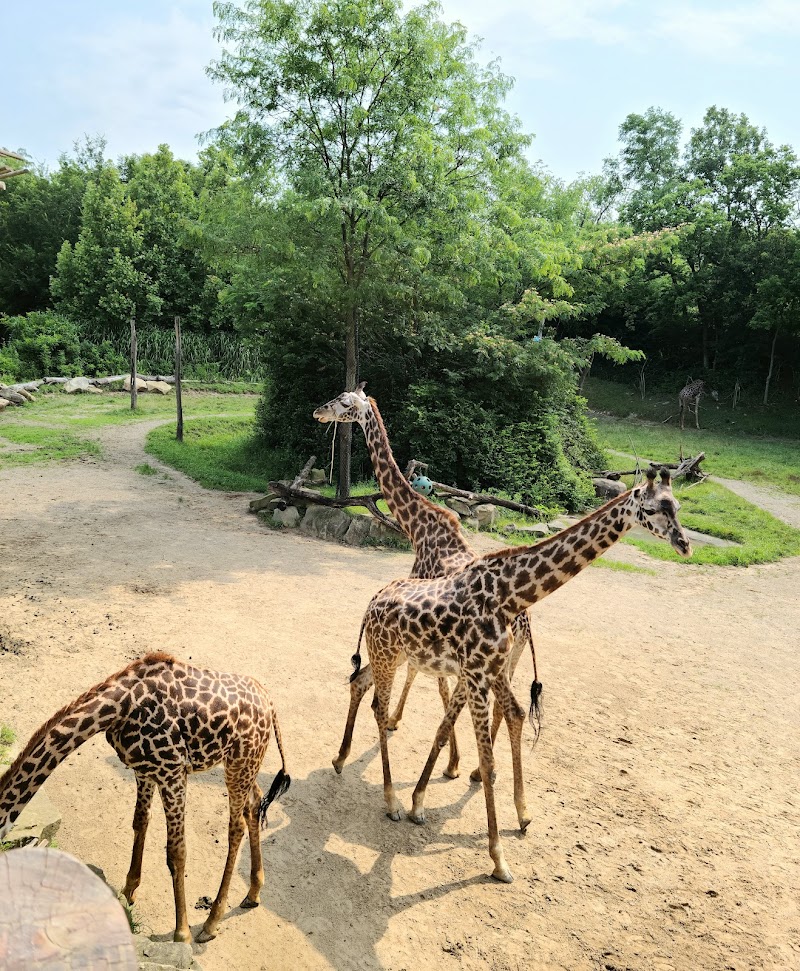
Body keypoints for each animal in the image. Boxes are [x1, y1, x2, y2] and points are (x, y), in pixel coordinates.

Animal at [0, 652, 290, 944]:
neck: (120, 708)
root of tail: (270, 705)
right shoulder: (144, 770)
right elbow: (140, 821)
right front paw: (128, 892)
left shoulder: (173, 772)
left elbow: (176, 852)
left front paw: (182, 933)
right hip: (245, 764)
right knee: (255, 803)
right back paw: (253, 892)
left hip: (239, 763)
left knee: (236, 827)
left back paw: (211, 923)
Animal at [313, 385, 540, 782]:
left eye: (342, 403)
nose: (318, 412)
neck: (418, 528)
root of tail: (525, 621)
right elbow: (421, 675)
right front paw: (403, 725)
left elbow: (428, 680)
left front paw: (446, 758)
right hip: (511, 660)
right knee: (501, 707)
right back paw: (484, 771)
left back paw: (477, 770)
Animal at [351, 468, 691, 883]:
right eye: (654, 509)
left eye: (677, 507)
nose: (684, 544)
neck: (509, 593)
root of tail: (373, 600)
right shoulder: (473, 671)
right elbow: (484, 754)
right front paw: (498, 859)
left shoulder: (484, 669)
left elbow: (494, 722)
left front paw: (506, 815)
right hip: (396, 655)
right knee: (379, 702)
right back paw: (390, 794)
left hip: (410, 657)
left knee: (369, 687)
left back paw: (352, 764)